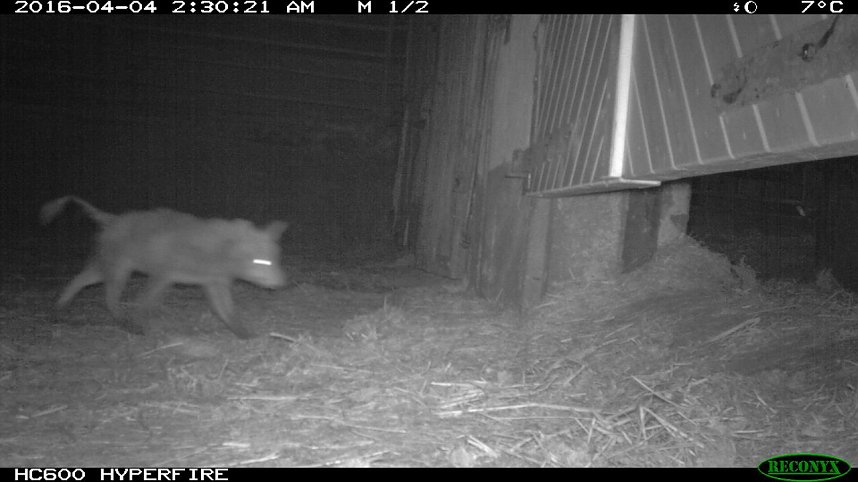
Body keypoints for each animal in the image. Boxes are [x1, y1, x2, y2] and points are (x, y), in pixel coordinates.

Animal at [41, 196, 288, 339]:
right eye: (261, 261)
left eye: (275, 258)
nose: (284, 283)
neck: (214, 252)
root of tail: (111, 218)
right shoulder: (164, 276)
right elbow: (144, 302)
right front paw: (146, 330)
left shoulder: (213, 282)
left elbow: (226, 310)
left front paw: (246, 335)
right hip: (118, 269)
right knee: (108, 296)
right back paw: (129, 326)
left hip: (104, 267)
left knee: (78, 280)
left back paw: (56, 314)